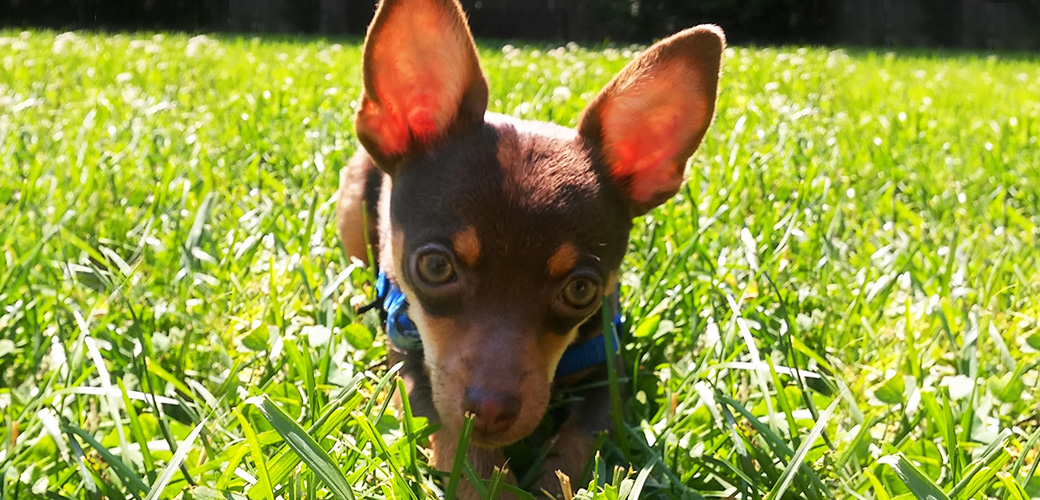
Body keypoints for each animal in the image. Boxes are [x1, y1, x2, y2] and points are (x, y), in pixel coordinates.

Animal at [339, 0, 723, 492]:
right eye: (435, 268)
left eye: (581, 291)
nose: (490, 409)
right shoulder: (412, 366)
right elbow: (460, 444)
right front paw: (494, 484)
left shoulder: (610, 378)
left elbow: (578, 441)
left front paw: (550, 486)